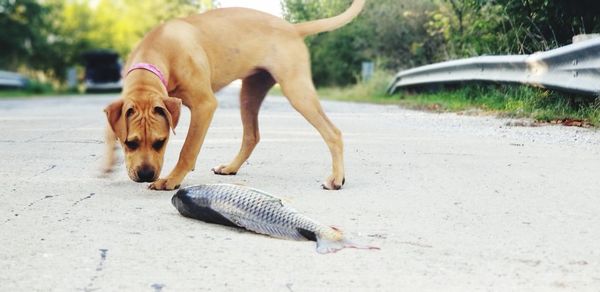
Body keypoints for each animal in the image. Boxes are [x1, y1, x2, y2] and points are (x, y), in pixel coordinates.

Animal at [103, 0, 366, 190]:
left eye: (161, 141)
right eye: (130, 143)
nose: (146, 175)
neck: (157, 51)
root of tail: (293, 28)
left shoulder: (204, 105)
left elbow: (188, 148)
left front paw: (172, 179)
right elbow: (110, 129)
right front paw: (107, 163)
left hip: (296, 91)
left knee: (333, 133)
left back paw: (337, 179)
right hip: (250, 93)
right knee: (252, 136)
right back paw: (230, 167)